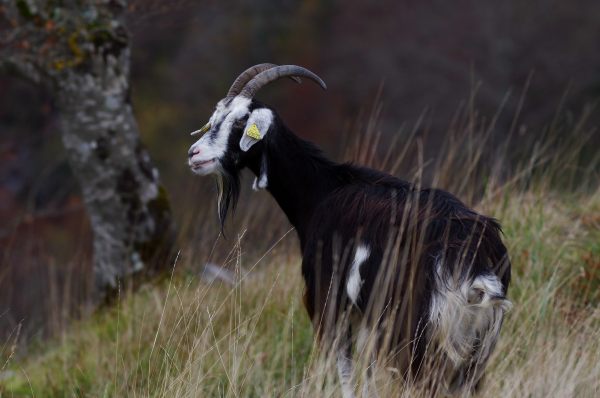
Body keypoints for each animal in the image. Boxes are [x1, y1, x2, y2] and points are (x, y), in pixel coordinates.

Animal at [186, 63, 510, 396]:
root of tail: (474, 262)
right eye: (215, 118)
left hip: (419, 331)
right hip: (474, 344)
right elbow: (366, 374)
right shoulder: (365, 316)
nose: (194, 154)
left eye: (240, 121)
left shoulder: (331, 302)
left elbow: (346, 373)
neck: (321, 192)